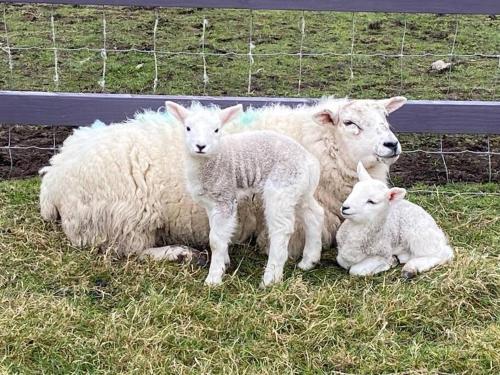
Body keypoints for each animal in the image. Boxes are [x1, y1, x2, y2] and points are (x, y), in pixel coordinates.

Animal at [39, 95, 406, 262]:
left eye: (386, 118)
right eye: (350, 123)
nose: (391, 145)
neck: (315, 141)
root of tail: (54, 174)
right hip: (124, 217)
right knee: (128, 251)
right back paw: (177, 253)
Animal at [165, 101, 324, 286]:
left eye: (216, 130)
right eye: (188, 128)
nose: (200, 146)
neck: (215, 158)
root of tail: (309, 160)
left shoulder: (224, 196)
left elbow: (215, 240)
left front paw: (213, 278)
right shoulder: (211, 203)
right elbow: (218, 233)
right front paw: (225, 262)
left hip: (281, 186)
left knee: (281, 229)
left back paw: (270, 278)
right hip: (299, 189)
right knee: (314, 214)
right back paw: (309, 261)